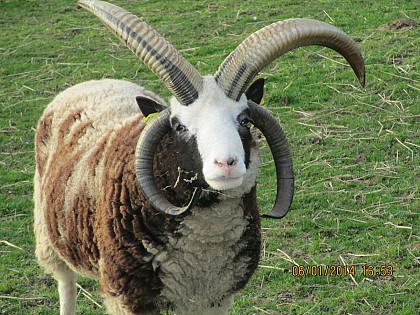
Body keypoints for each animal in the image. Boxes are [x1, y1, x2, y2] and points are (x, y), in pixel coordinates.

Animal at [35, 0, 364, 315]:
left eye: (244, 120)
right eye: (179, 126)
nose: (226, 164)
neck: (203, 250)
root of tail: (94, 83)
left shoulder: (215, 297)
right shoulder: (128, 297)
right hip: (48, 238)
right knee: (66, 285)